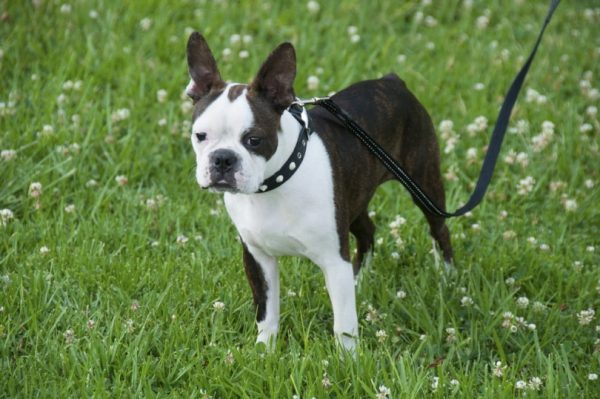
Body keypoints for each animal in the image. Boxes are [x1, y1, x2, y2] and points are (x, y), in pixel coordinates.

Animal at [185, 32, 452, 352]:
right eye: (200, 136)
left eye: (254, 140)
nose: (223, 158)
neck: (275, 183)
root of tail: (392, 81)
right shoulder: (257, 257)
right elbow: (266, 312)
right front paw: (264, 352)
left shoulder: (333, 260)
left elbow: (344, 324)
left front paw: (348, 360)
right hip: (354, 198)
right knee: (367, 231)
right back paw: (359, 278)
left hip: (423, 181)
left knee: (439, 228)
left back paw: (448, 276)